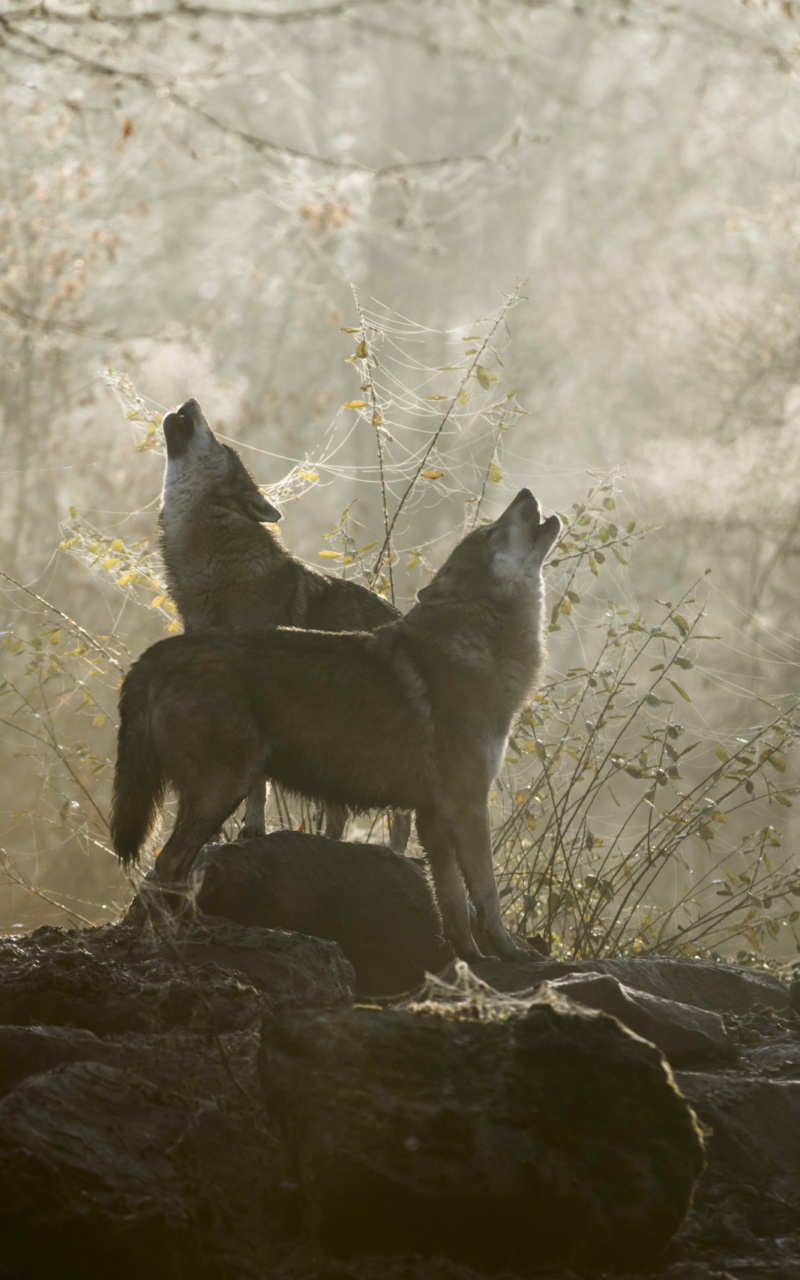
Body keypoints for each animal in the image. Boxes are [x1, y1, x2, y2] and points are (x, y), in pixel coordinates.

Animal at [111, 489, 561, 962]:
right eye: (490, 532)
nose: (526, 493)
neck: (477, 646)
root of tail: (153, 655)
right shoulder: (466, 805)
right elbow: (486, 893)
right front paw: (512, 953)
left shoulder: (433, 816)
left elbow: (453, 901)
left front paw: (471, 958)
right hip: (224, 788)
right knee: (163, 866)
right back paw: (179, 942)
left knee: (172, 870)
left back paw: (198, 931)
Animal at [158, 396, 405, 847]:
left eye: (221, 445)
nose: (190, 401)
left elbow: (258, 784)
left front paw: (252, 828)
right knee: (341, 812)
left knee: (401, 813)